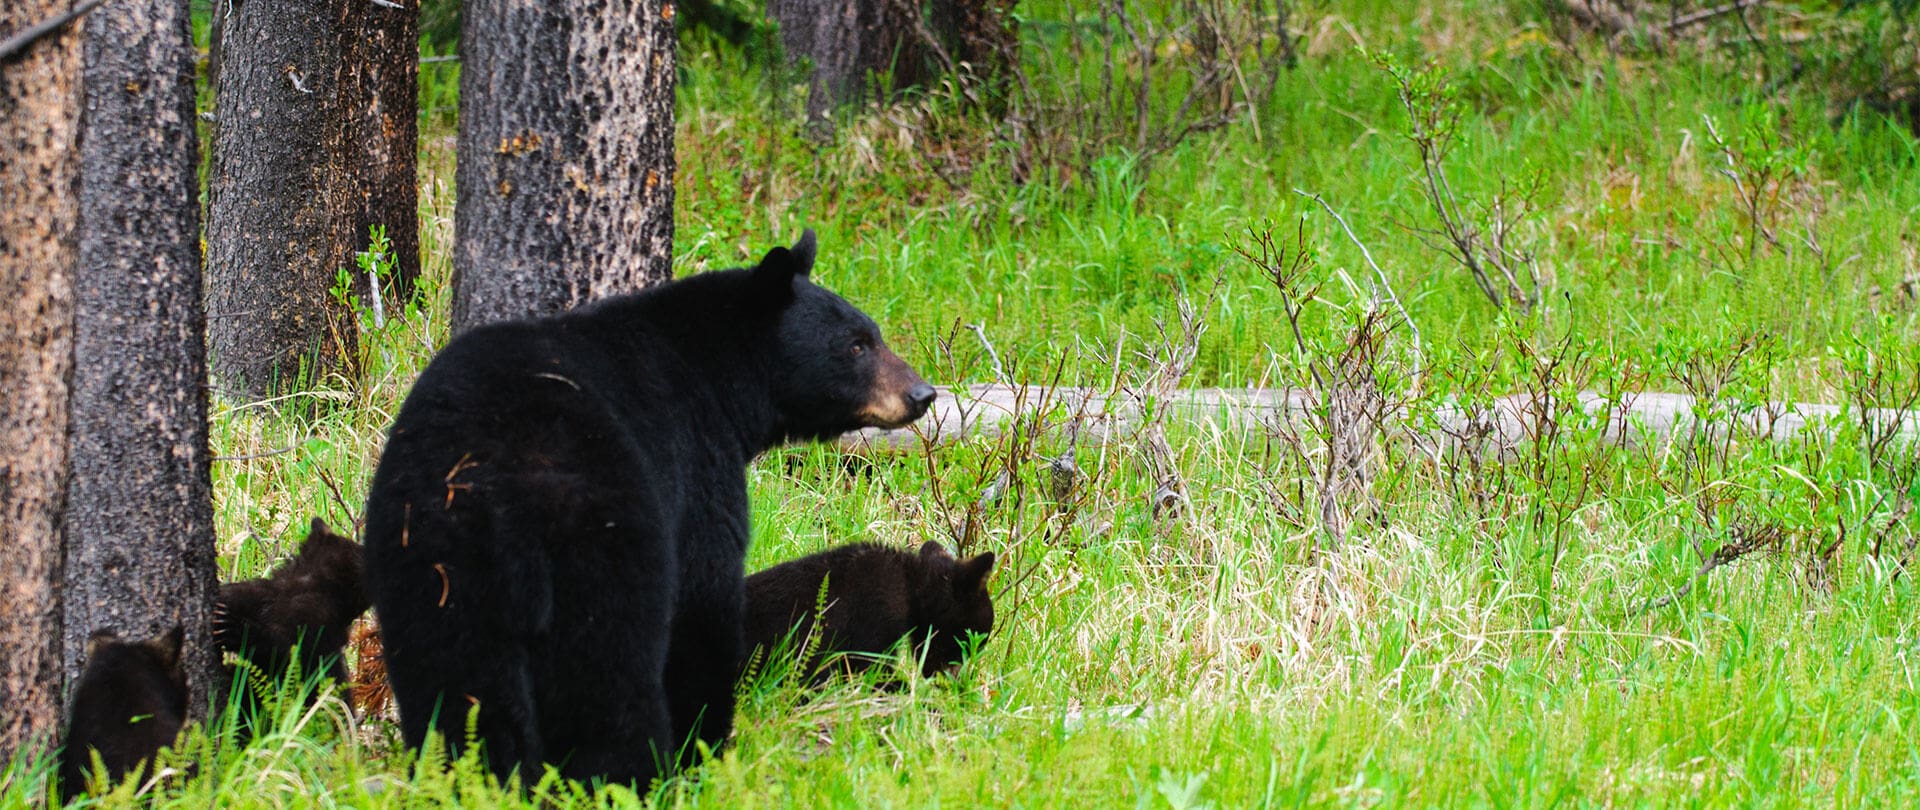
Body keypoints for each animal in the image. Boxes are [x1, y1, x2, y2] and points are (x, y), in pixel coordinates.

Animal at [362, 231, 933, 786]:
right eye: (856, 344)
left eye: (873, 333)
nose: (922, 393)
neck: (717, 377)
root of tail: (493, 491)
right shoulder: (695, 461)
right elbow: (705, 596)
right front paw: (704, 743)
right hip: (601, 545)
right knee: (610, 676)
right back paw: (634, 775)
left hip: (427, 563)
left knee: (455, 685)